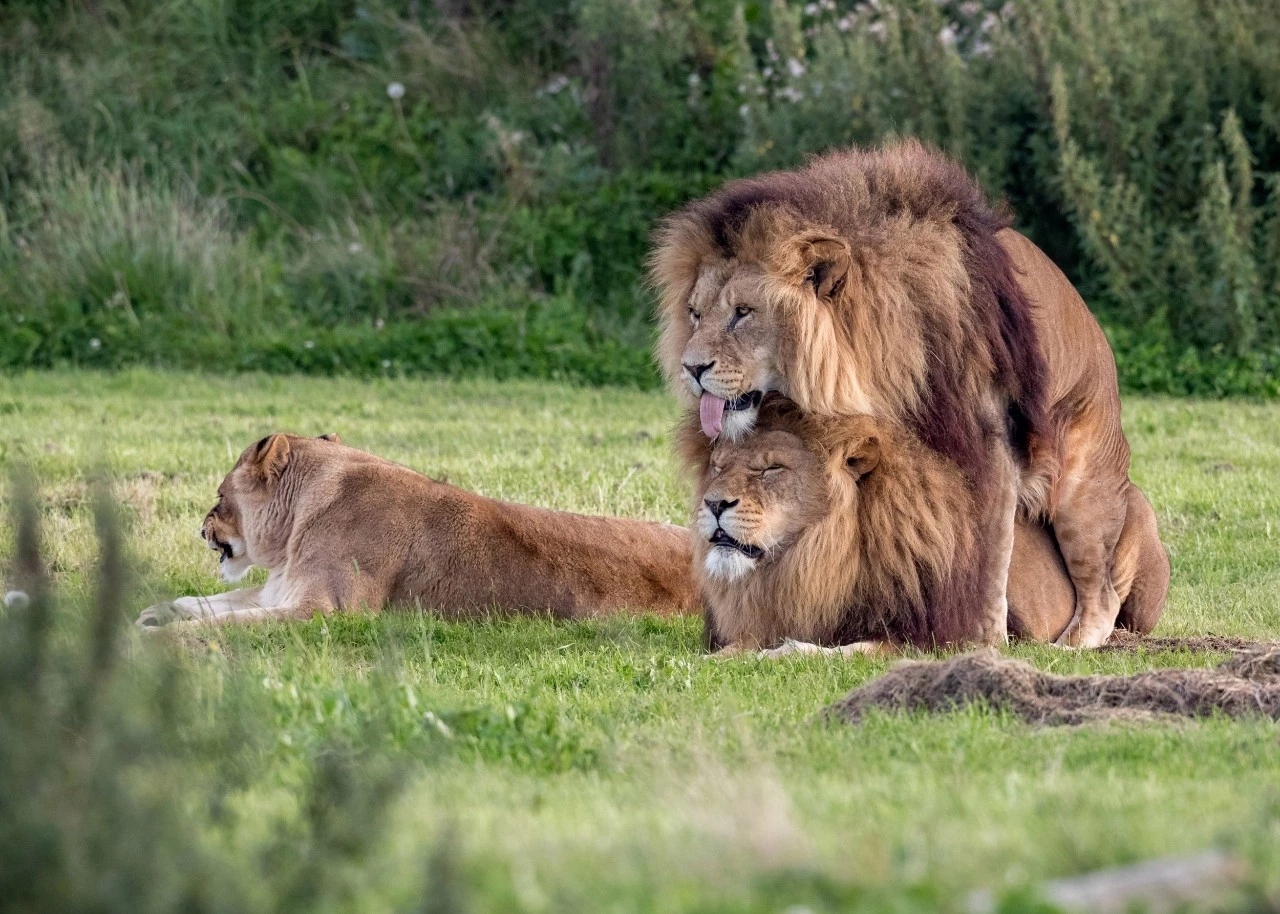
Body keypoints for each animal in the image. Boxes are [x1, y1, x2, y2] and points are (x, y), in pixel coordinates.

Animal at [137, 435, 701, 627]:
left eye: (219, 498)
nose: (201, 530)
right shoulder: (279, 589)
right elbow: (205, 603)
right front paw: (153, 613)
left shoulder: (326, 611)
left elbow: (225, 625)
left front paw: (154, 639)